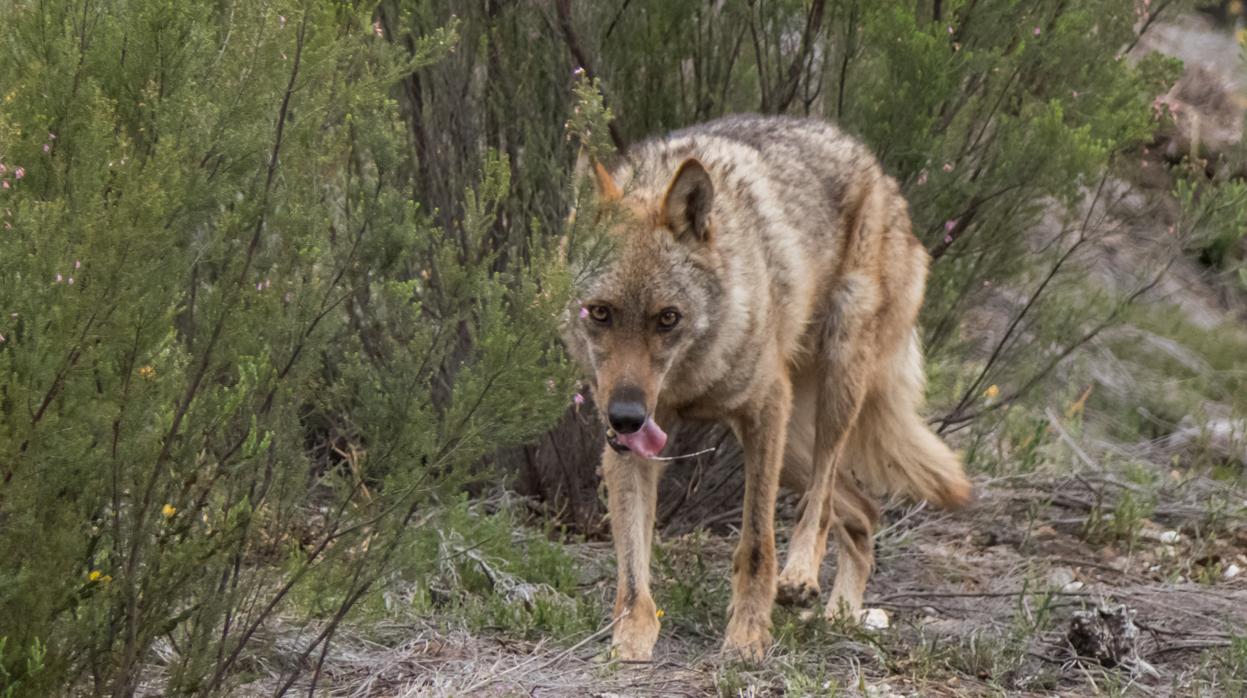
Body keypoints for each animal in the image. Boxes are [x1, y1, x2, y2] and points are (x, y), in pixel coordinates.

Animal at [563, 113, 972, 658]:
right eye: (600, 313)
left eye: (668, 318)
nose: (626, 416)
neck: (690, 379)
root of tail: (880, 173)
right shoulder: (629, 447)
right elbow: (632, 569)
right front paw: (629, 643)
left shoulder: (763, 411)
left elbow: (756, 542)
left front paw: (747, 637)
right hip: (793, 445)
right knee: (864, 512)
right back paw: (842, 616)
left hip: (831, 389)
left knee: (821, 502)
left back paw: (801, 578)